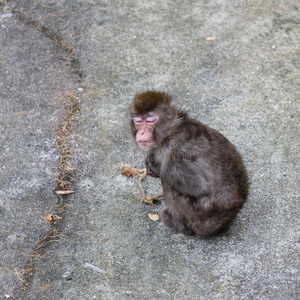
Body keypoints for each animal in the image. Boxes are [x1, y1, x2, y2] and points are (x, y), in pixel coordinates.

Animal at [129, 90, 248, 236]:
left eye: (150, 120)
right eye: (138, 120)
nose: (141, 132)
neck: (172, 130)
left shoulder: (176, 151)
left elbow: (198, 186)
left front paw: (154, 165)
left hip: (201, 221)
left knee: (170, 184)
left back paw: (176, 222)